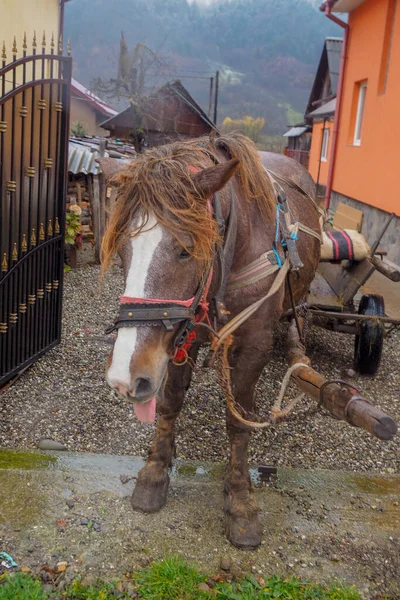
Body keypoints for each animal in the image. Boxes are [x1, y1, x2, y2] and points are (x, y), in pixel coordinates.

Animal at [101, 134, 320, 552]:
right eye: (122, 250)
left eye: (186, 250)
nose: (124, 379)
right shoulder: (180, 337)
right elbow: (170, 402)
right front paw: (155, 471)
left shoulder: (253, 345)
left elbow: (239, 422)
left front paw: (239, 499)